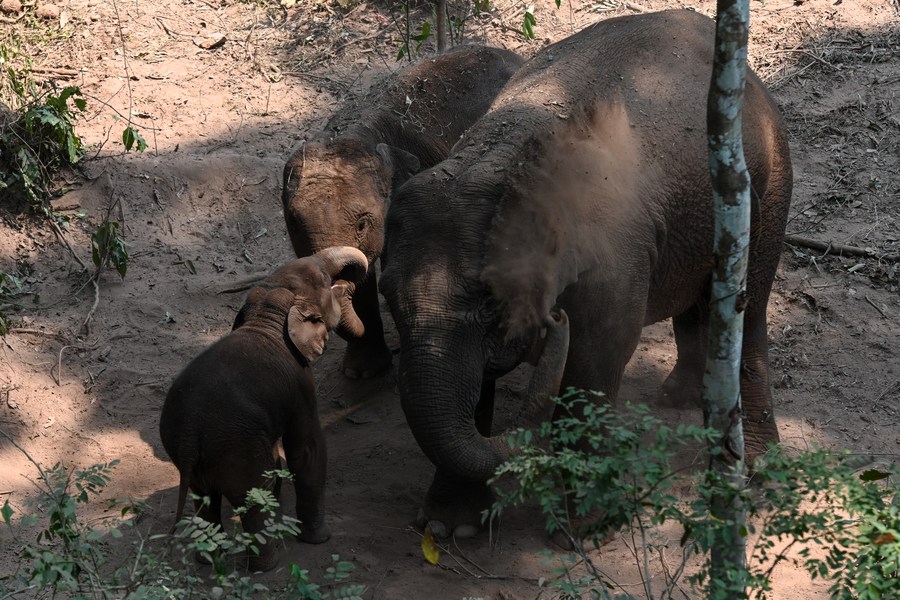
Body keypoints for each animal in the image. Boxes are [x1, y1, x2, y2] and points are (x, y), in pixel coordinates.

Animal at [160, 245, 368, 572]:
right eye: (324, 279)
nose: (348, 285)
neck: (267, 313)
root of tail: (191, 433)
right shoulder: (301, 386)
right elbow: (307, 450)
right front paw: (320, 539)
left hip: (186, 449)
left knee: (205, 497)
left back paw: (210, 560)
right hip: (235, 446)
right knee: (254, 492)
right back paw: (267, 565)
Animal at [376, 10, 792, 540]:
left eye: (491, 303)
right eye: (388, 297)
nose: (555, 321)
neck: (501, 159)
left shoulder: (612, 263)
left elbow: (598, 356)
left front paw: (588, 527)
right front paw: (448, 528)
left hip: (770, 183)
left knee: (749, 307)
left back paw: (756, 466)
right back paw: (676, 399)